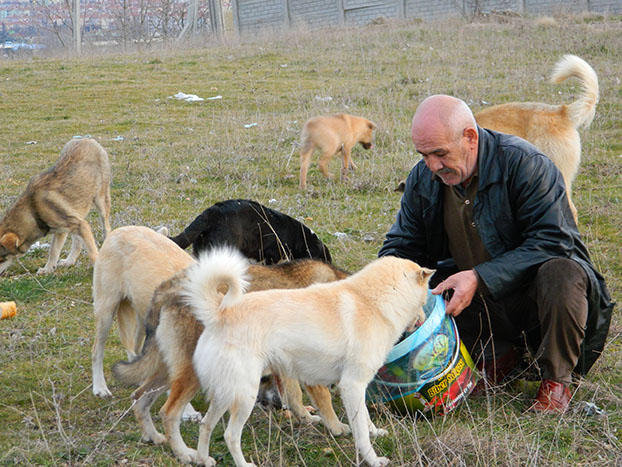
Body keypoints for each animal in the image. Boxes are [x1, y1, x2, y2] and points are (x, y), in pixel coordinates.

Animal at [0, 141, 112, 276]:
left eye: (1, 259)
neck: (33, 211)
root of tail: (88, 140)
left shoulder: (80, 225)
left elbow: (92, 253)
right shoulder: (62, 230)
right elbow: (53, 251)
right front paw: (48, 269)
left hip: (101, 202)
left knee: (106, 228)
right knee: (77, 242)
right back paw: (69, 261)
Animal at [114, 258, 354, 462]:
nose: (273, 406)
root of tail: (166, 288)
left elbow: (295, 398)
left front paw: (307, 419)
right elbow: (324, 399)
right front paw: (337, 428)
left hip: (171, 372)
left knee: (139, 397)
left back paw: (153, 437)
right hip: (192, 375)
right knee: (168, 413)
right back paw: (184, 454)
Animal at [183, 250, 432, 467]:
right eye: (424, 299)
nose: (423, 319)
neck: (372, 301)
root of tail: (220, 313)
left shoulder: (358, 387)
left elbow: (365, 417)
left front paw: (375, 432)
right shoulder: (352, 385)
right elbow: (360, 432)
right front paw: (373, 459)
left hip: (225, 394)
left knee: (206, 425)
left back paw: (203, 459)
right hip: (245, 396)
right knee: (230, 435)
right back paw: (244, 464)